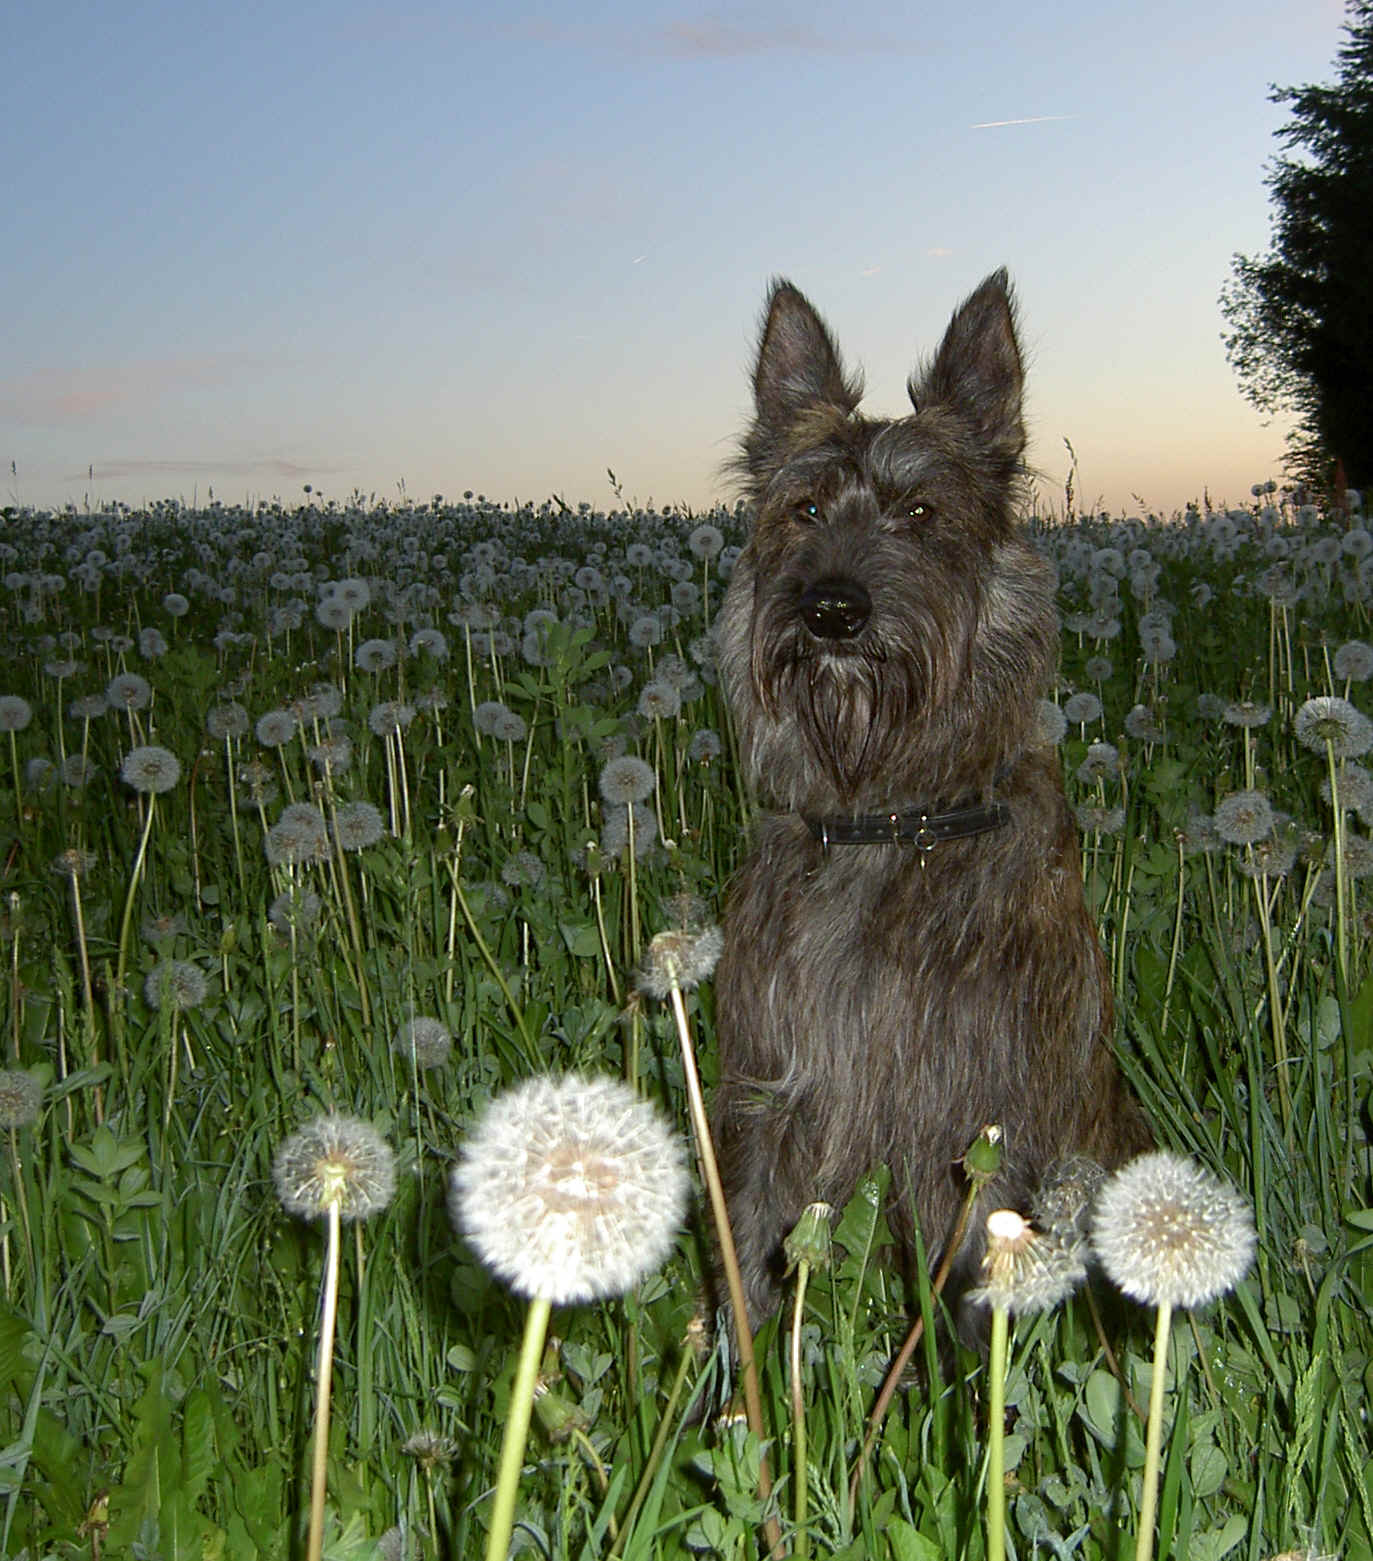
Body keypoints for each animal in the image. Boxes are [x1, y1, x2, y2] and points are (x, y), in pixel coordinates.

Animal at [708, 268, 1148, 1329]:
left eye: (918, 512)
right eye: (805, 508)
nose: (831, 608)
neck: (886, 818)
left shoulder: (972, 1134)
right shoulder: (767, 1096)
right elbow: (745, 1279)